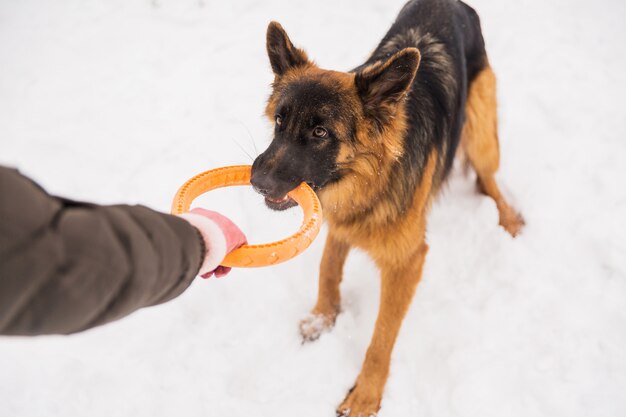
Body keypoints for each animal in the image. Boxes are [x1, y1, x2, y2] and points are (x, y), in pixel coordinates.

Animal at [249, 0, 520, 412]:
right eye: (280, 121)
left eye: (320, 132)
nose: (256, 180)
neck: (372, 179)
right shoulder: (342, 223)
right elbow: (328, 269)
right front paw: (322, 318)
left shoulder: (407, 262)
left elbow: (382, 335)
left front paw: (366, 394)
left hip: (481, 134)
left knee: (489, 176)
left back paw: (507, 218)